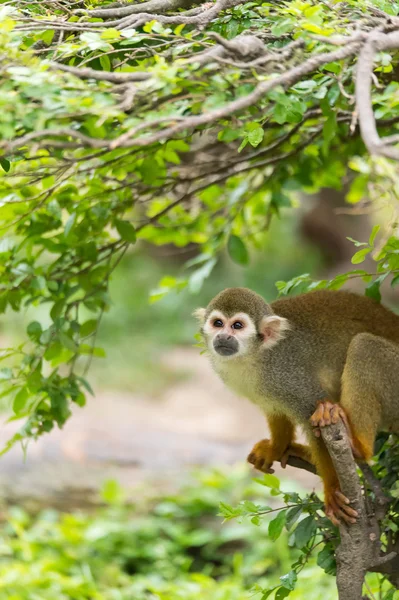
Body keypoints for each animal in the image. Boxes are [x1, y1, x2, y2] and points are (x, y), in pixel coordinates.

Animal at [195, 288, 399, 524]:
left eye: (237, 326)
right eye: (218, 323)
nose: (223, 336)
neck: (256, 355)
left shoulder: (287, 373)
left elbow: (312, 411)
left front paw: (332, 489)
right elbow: (274, 409)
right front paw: (276, 448)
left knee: (365, 346)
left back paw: (357, 446)